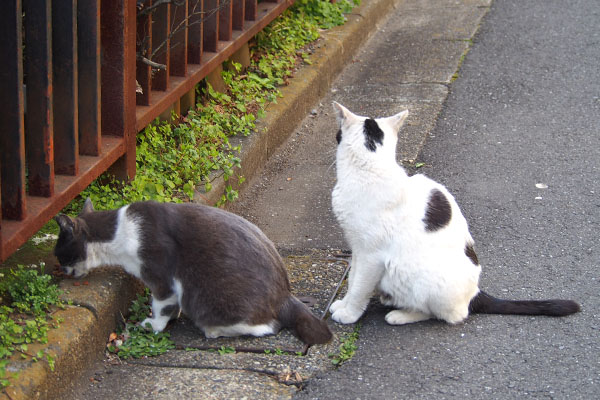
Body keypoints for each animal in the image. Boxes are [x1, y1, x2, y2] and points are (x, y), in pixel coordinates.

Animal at [55, 200, 332, 344]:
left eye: (58, 254)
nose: (62, 270)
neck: (118, 233)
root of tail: (286, 296)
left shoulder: (161, 278)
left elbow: (161, 305)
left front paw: (154, 325)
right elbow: (170, 306)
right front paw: (171, 318)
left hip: (206, 297)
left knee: (267, 326)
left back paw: (213, 330)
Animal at [330, 103, 580, 324]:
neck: (370, 168)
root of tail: (476, 293)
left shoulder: (371, 255)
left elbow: (360, 287)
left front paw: (349, 313)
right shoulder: (356, 247)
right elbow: (353, 280)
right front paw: (343, 304)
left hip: (412, 274)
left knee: (447, 314)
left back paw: (401, 315)